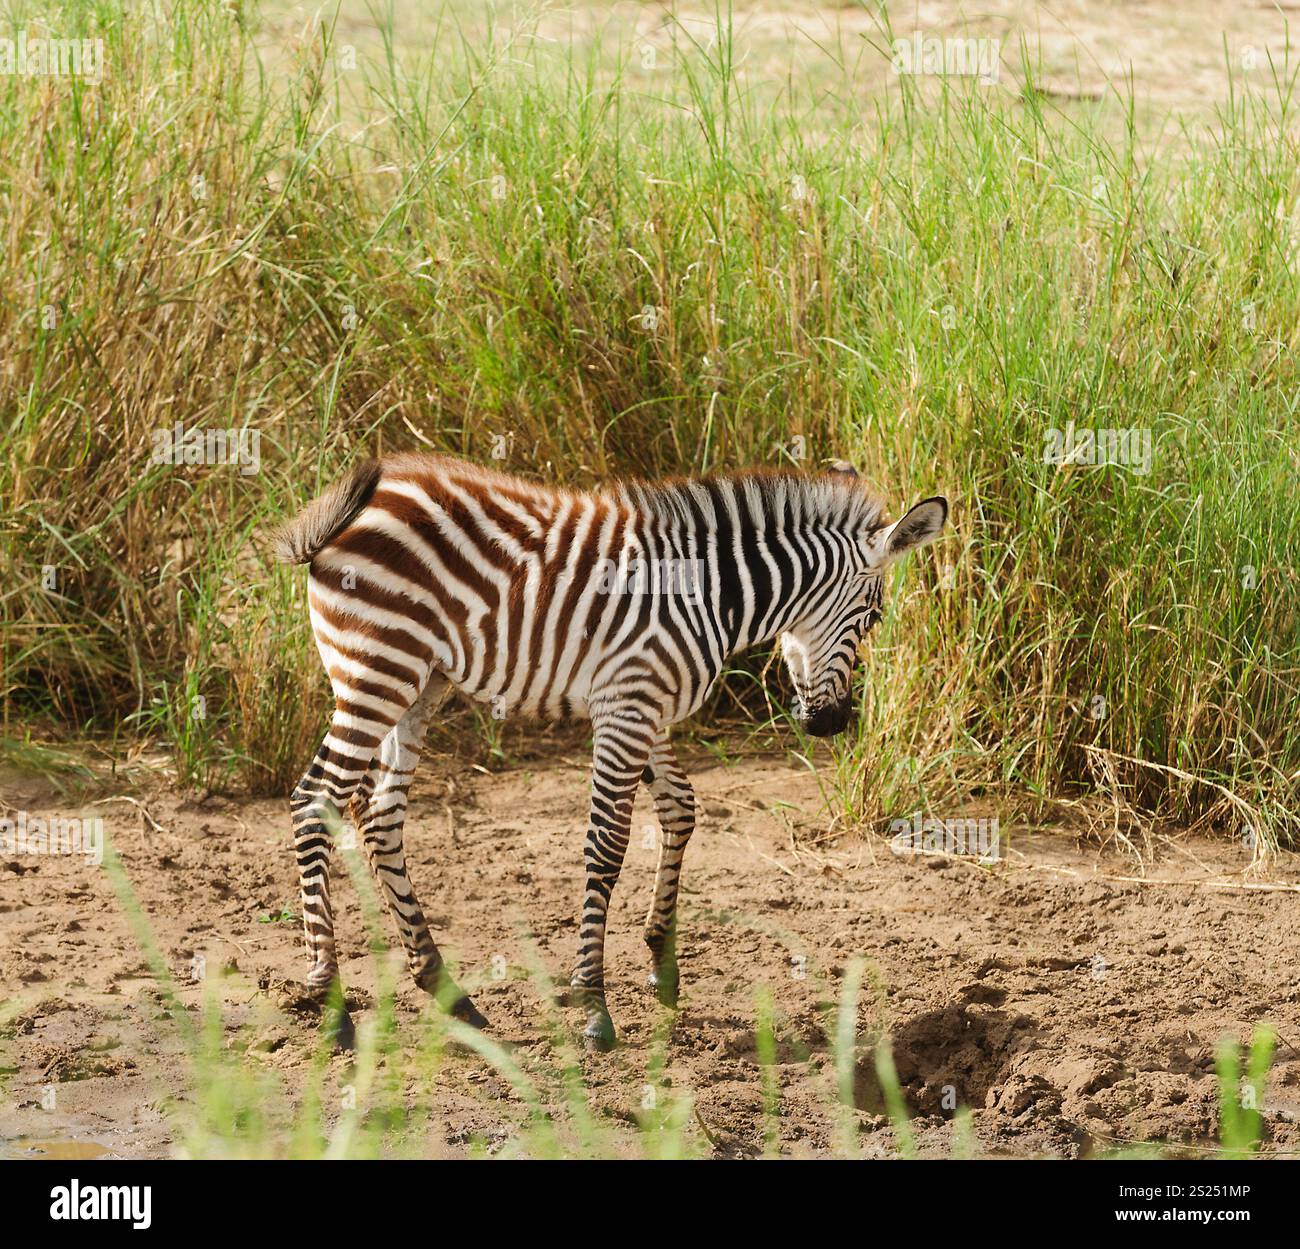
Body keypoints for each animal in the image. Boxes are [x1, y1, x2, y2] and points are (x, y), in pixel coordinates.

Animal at [274, 452, 946, 1050]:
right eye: (874, 618)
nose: (832, 724)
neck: (711, 594)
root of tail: (349, 511)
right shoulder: (628, 706)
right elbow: (607, 844)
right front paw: (593, 1003)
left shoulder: (646, 707)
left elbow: (681, 810)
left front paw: (662, 961)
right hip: (377, 672)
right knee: (315, 802)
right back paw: (332, 1005)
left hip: (419, 685)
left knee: (379, 816)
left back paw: (445, 988)